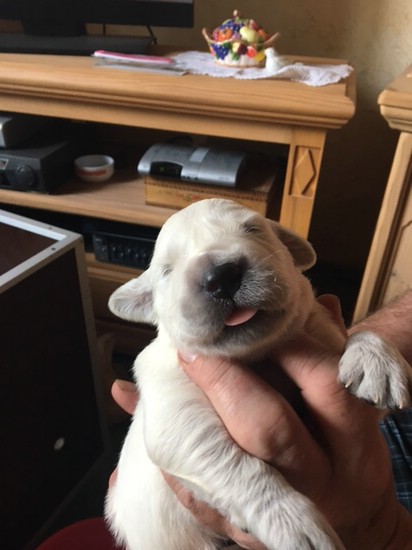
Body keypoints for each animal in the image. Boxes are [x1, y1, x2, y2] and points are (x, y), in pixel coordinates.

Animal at [105, 198, 412, 550]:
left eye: (252, 228)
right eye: (167, 271)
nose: (221, 275)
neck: (255, 355)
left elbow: (355, 339)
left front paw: (377, 362)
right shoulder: (176, 414)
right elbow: (235, 464)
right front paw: (293, 523)